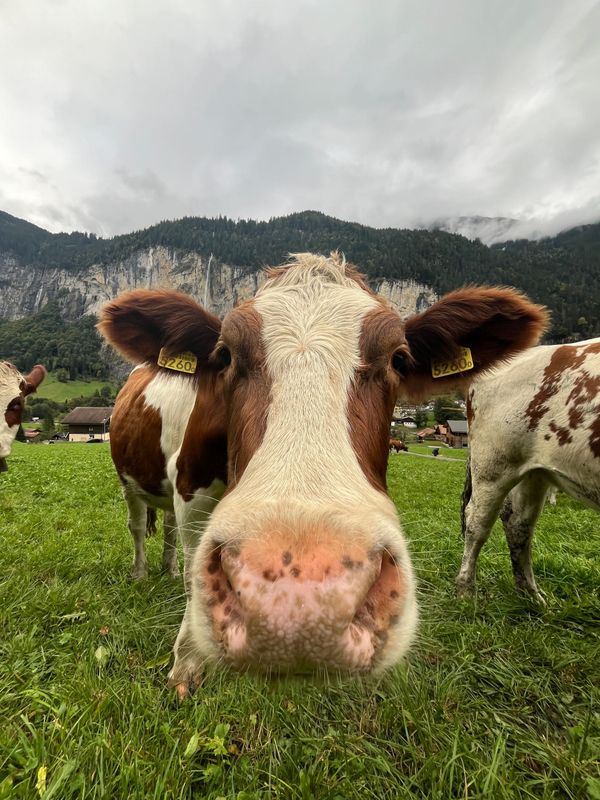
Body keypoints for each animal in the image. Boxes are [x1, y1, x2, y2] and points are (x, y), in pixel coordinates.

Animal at [99, 252, 547, 696]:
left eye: (399, 359)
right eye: (224, 354)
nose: (302, 604)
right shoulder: (191, 485)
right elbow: (195, 573)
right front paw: (187, 663)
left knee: (167, 530)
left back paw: (169, 569)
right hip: (128, 480)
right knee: (138, 525)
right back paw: (141, 572)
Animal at [457, 339, 600, 602]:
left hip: (536, 471)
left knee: (519, 524)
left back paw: (531, 597)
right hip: (493, 465)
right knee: (477, 523)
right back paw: (465, 592)